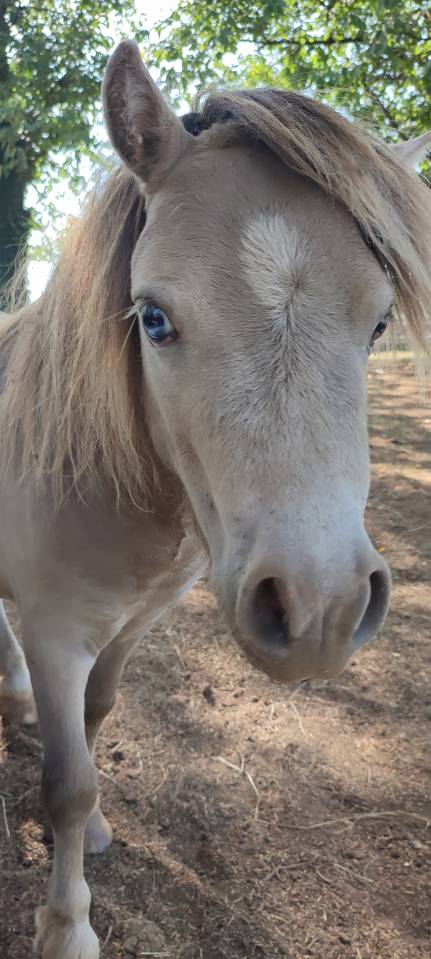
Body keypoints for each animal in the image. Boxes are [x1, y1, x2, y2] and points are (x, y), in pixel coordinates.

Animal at [0, 39, 430, 959]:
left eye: (379, 325)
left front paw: (93, 837)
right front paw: (67, 927)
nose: (320, 608)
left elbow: (97, 720)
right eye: (153, 318)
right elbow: (66, 780)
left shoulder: (138, 621)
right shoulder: (57, 633)